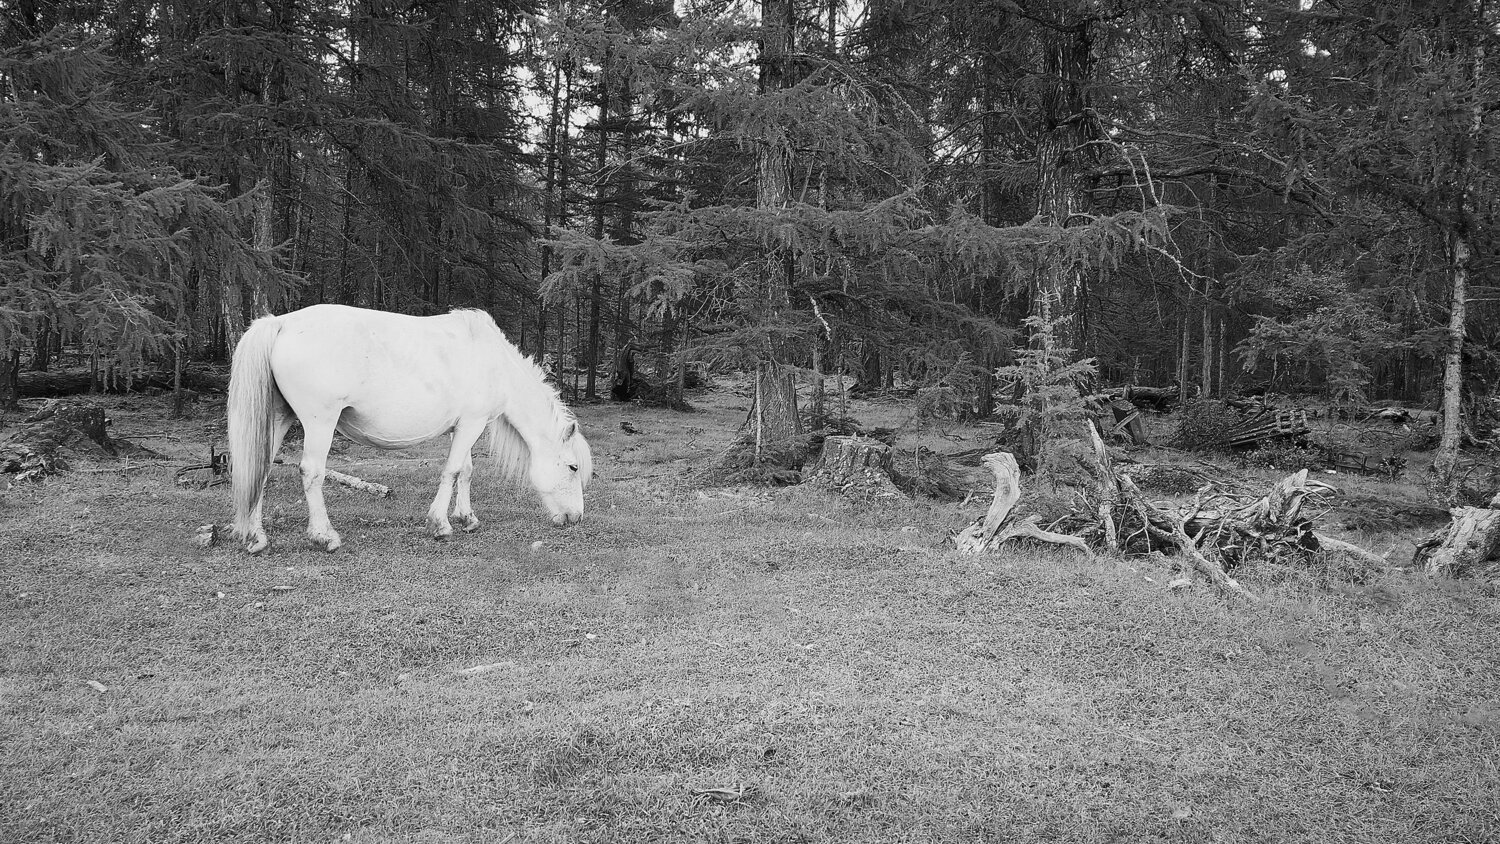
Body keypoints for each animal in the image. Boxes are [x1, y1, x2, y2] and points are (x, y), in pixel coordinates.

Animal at [227, 304, 592, 554]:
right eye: (573, 467)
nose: (575, 517)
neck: (493, 361)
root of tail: (280, 323)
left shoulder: (464, 427)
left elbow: (466, 471)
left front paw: (467, 518)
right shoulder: (472, 424)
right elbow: (452, 471)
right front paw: (441, 525)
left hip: (279, 418)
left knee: (259, 470)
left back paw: (257, 537)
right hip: (320, 423)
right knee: (311, 473)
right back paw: (324, 536)